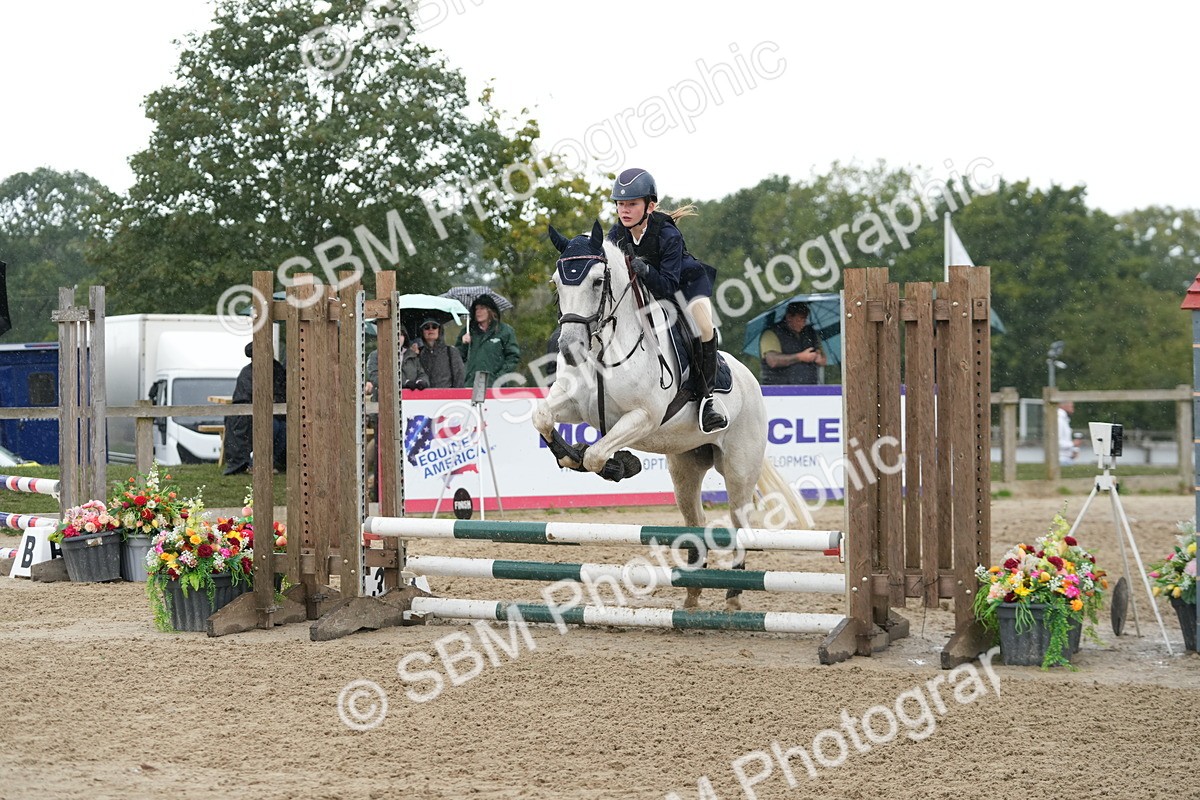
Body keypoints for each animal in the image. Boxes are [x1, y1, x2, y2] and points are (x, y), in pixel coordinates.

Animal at [534, 221, 805, 611]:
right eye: (557, 282)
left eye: (598, 282)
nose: (571, 349)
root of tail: (751, 381)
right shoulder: (574, 405)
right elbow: (543, 418)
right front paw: (572, 455)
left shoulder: (643, 417)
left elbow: (597, 454)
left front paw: (620, 465)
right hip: (685, 468)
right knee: (696, 520)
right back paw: (692, 594)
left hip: (739, 468)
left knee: (739, 520)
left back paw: (734, 594)